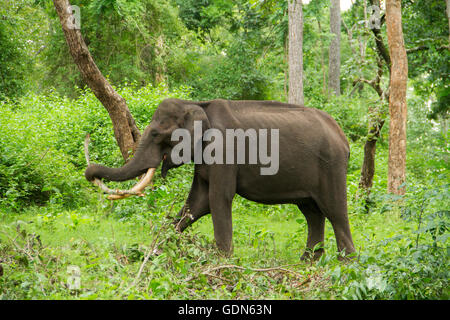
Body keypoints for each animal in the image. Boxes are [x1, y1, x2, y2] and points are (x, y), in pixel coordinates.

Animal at [85, 99, 356, 258]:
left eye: (155, 134)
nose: (90, 174)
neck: (196, 105)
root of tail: (343, 137)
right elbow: (197, 203)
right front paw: (156, 251)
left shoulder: (224, 151)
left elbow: (218, 198)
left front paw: (223, 263)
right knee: (312, 213)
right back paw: (307, 263)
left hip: (331, 166)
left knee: (335, 211)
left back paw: (347, 264)